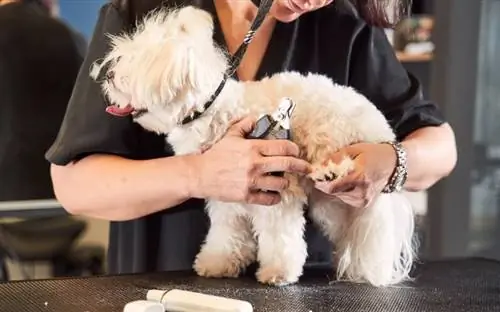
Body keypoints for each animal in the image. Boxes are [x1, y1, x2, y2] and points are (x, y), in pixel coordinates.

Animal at [91, 6, 418, 286]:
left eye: (133, 67)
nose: (108, 75)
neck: (214, 111)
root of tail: (381, 128)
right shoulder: (225, 196)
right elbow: (226, 232)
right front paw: (218, 262)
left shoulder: (279, 189)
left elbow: (279, 235)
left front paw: (278, 272)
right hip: (328, 204)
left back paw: (333, 172)